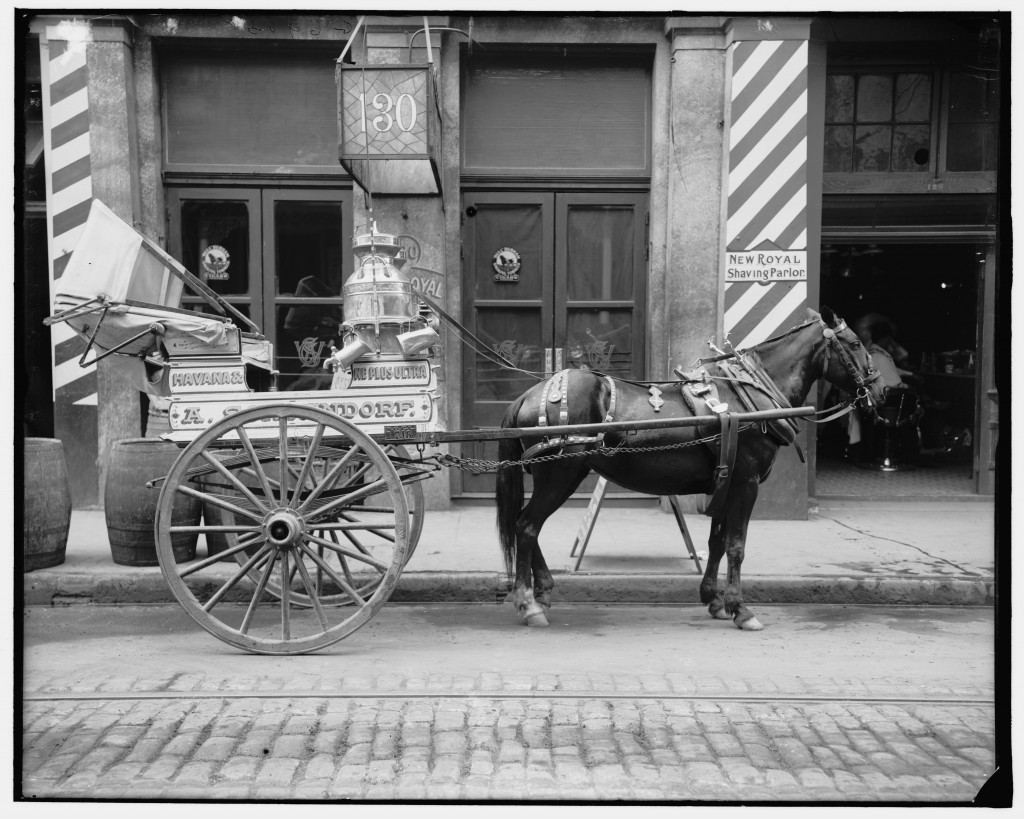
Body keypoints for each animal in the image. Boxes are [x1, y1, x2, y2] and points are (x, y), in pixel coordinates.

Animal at [491, 307, 884, 634]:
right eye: (855, 343)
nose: (881, 388)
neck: (750, 395)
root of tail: (531, 394)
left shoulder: (726, 481)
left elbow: (717, 542)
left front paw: (715, 598)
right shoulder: (747, 482)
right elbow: (737, 545)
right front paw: (741, 609)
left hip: (564, 475)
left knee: (528, 526)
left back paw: (541, 590)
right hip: (559, 473)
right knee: (526, 526)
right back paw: (527, 602)